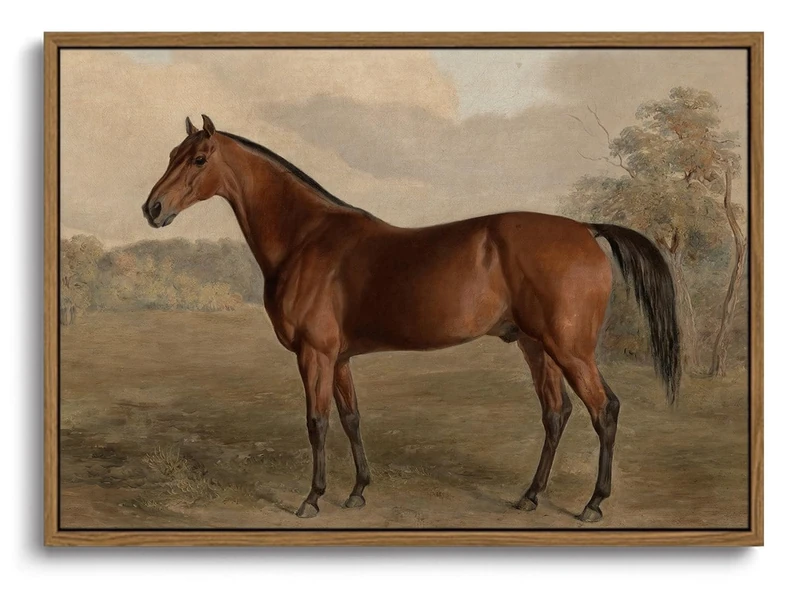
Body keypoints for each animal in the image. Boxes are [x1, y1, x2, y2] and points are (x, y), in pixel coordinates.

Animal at [142, 115, 681, 522]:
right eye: (170, 153)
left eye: (198, 159)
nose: (153, 208)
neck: (306, 238)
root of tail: (585, 230)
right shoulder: (339, 358)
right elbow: (351, 418)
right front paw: (358, 491)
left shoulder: (315, 355)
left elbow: (317, 422)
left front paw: (312, 498)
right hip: (536, 346)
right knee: (556, 413)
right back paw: (529, 496)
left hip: (571, 349)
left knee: (604, 410)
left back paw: (593, 504)